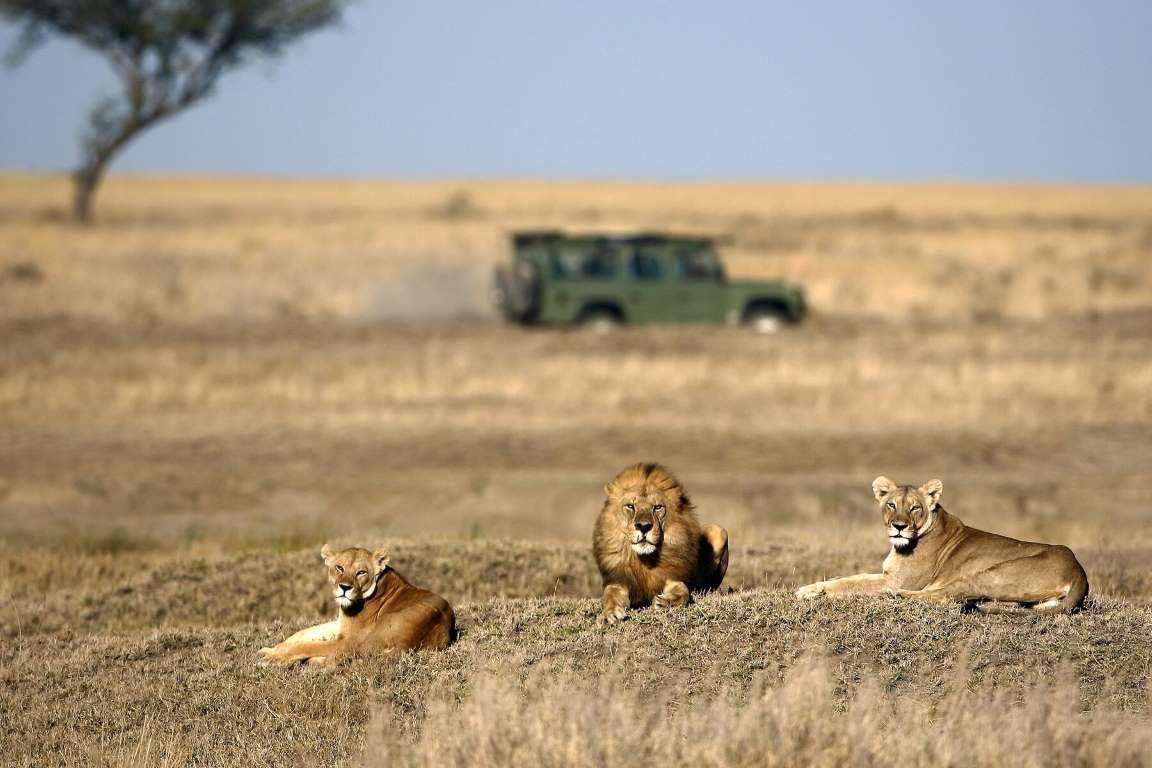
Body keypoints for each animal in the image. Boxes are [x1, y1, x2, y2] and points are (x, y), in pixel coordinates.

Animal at [260, 543, 453, 663]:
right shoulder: (340, 625)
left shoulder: (347, 639)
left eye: (361, 572)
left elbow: (308, 644)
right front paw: (270, 649)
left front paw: (272, 658)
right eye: (339, 568)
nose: (345, 587)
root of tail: (410, 642)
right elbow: (304, 632)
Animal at [594, 462, 728, 626]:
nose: (643, 526)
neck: (645, 559)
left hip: (719, 531)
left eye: (657, 507)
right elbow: (610, 595)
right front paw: (610, 613)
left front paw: (665, 602)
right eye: (630, 506)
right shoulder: (619, 579)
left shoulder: (674, 576)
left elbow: (683, 591)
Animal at [797, 476, 1082, 617]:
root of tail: (1080, 572)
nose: (899, 526)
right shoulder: (886, 574)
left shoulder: (895, 579)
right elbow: (847, 577)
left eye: (915, 508)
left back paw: (895, 596)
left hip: (988, 573)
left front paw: (814, 593)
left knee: (950, 595)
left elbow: (850, 584)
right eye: (891, 505)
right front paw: (811, 588)